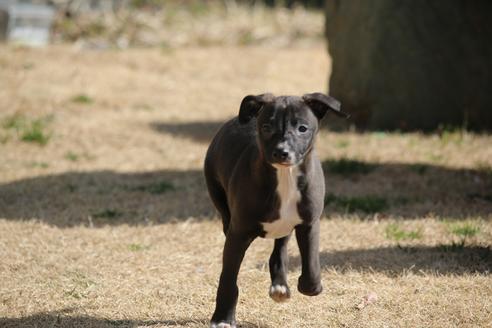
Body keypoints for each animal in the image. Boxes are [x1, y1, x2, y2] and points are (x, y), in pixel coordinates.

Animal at [204, 93, 346, 328]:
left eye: (302, 128)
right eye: (267, 127)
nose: (281, 152)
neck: (285, 177)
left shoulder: (309, 223)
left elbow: (311, 266)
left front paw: (309, 286)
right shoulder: (238, 232)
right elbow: (228, 277)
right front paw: (223, 317)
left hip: (285, 226)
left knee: (280, 248)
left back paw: (280, 286)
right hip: (220, 202)